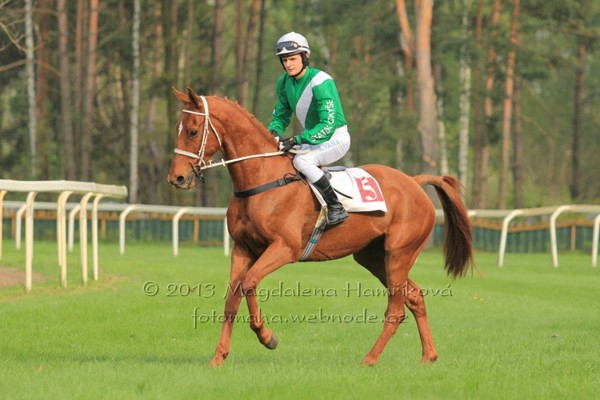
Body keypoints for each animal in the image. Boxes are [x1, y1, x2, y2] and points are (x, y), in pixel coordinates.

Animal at [167, 87, 473, 367]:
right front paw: (218, 357)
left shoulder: (284, 248)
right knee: (415, 296)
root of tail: (414, 181)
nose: (176, 178)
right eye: (178, 129)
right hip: (374, 257)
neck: (262, 180)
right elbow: (232, 298)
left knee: (396, 309)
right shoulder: (242, 249)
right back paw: (428, 356)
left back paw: (370, 359)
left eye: (192, 131)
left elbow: (250, 282)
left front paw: (267, 337)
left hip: (399, 253)